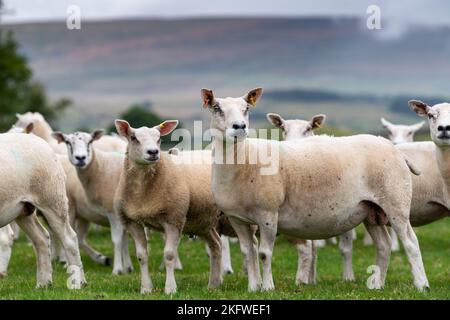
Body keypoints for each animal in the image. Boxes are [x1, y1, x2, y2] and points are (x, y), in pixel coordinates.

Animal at [0, 132, 85, 288]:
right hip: (24, 209)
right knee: (41, 238)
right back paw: (44, 283)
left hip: (52, 199)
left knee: (69, 238)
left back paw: (77, 282)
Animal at [52, 131, 133, 276]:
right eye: (68, 142)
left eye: (90, 141)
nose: (80, 158)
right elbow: (123, 241)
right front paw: (126, 268)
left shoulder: (114, 214)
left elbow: (118, 241)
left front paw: (118, 269)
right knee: (77, 238)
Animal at [114, 119, 223, 294]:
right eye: (133, 137)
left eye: (159, 138)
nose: (153, 152)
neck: (142, 194)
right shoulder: (132, 222)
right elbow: (141, 256)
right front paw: (146, 288)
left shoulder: (174, 218)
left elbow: (169, 255)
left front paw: (170, 288)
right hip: (202, 221)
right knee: (216, 245)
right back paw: (213, 284)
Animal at [200, 87, 428, 292]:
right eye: (216, 108)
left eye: (246, 108)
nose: (239, 126)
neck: (244, 160)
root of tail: (395, 150)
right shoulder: (237, 218)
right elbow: (248, 252)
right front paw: (253, 288)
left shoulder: (268, 215)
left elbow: (264, 253)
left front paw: (267, 287)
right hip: (371, 210)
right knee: (384, 244)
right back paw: (377, 284)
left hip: (395, 203)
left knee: (410, 242)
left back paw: (421, 284)